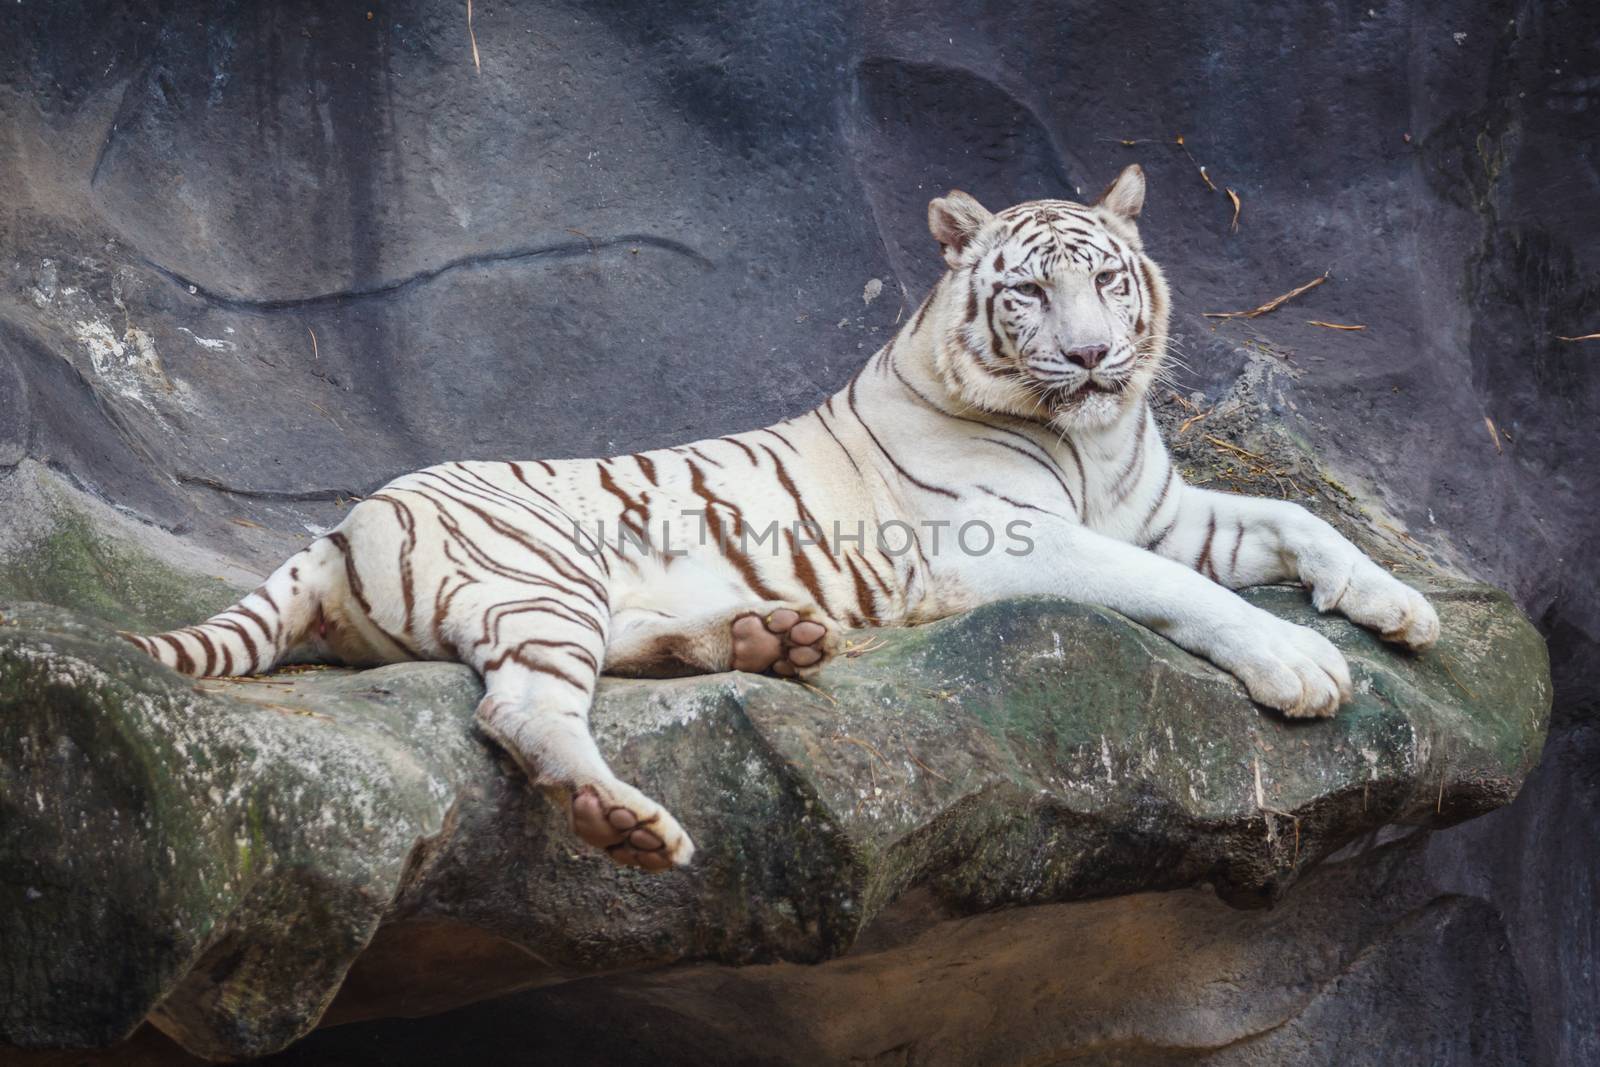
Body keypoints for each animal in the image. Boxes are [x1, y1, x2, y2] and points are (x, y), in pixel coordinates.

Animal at [131, 164, 1446, 870]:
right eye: (1029, 290)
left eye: (1109, 279)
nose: (1090, 355)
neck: (1090, 435)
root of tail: (344, 520)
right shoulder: (1014, 541)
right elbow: (1192, 591)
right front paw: (1301, 664)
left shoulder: (1156, 509)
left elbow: (1294, 517)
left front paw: (1401, 607)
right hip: (544, 571)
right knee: (522, 709)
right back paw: (629, 819)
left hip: (585, 592)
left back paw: (772, 637)